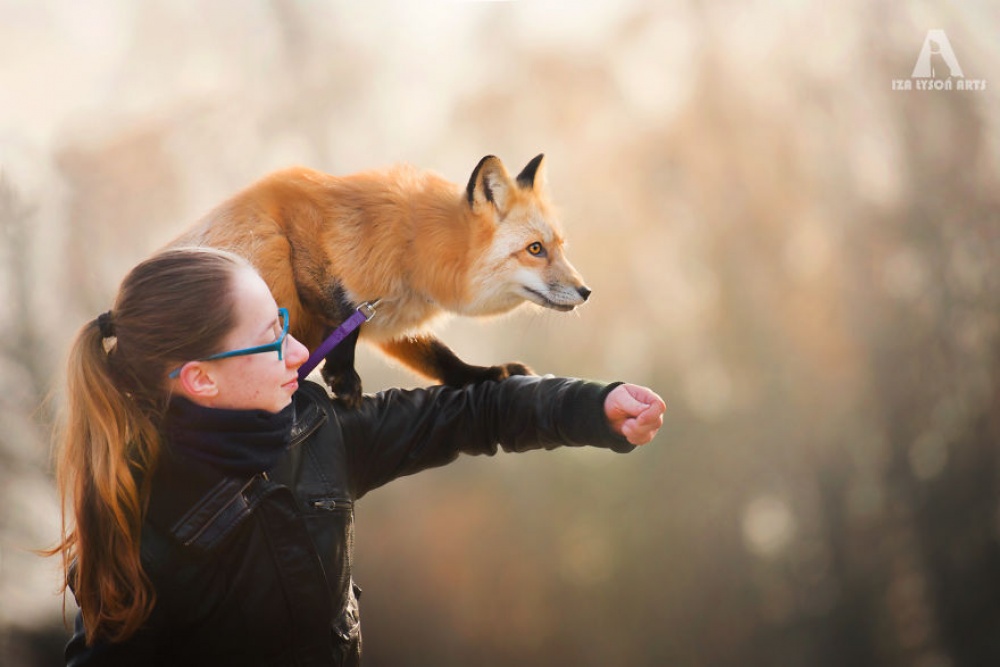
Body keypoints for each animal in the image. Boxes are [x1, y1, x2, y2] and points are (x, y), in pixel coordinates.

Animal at [168, 155, 588, 408]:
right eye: (535, 249)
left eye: (559, 246)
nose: (586, 291)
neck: (410, 251)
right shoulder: (295, 219)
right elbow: (342, 316)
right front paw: (342, 376)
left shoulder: (390, 316)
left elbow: (440, 356)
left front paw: (480, 374)